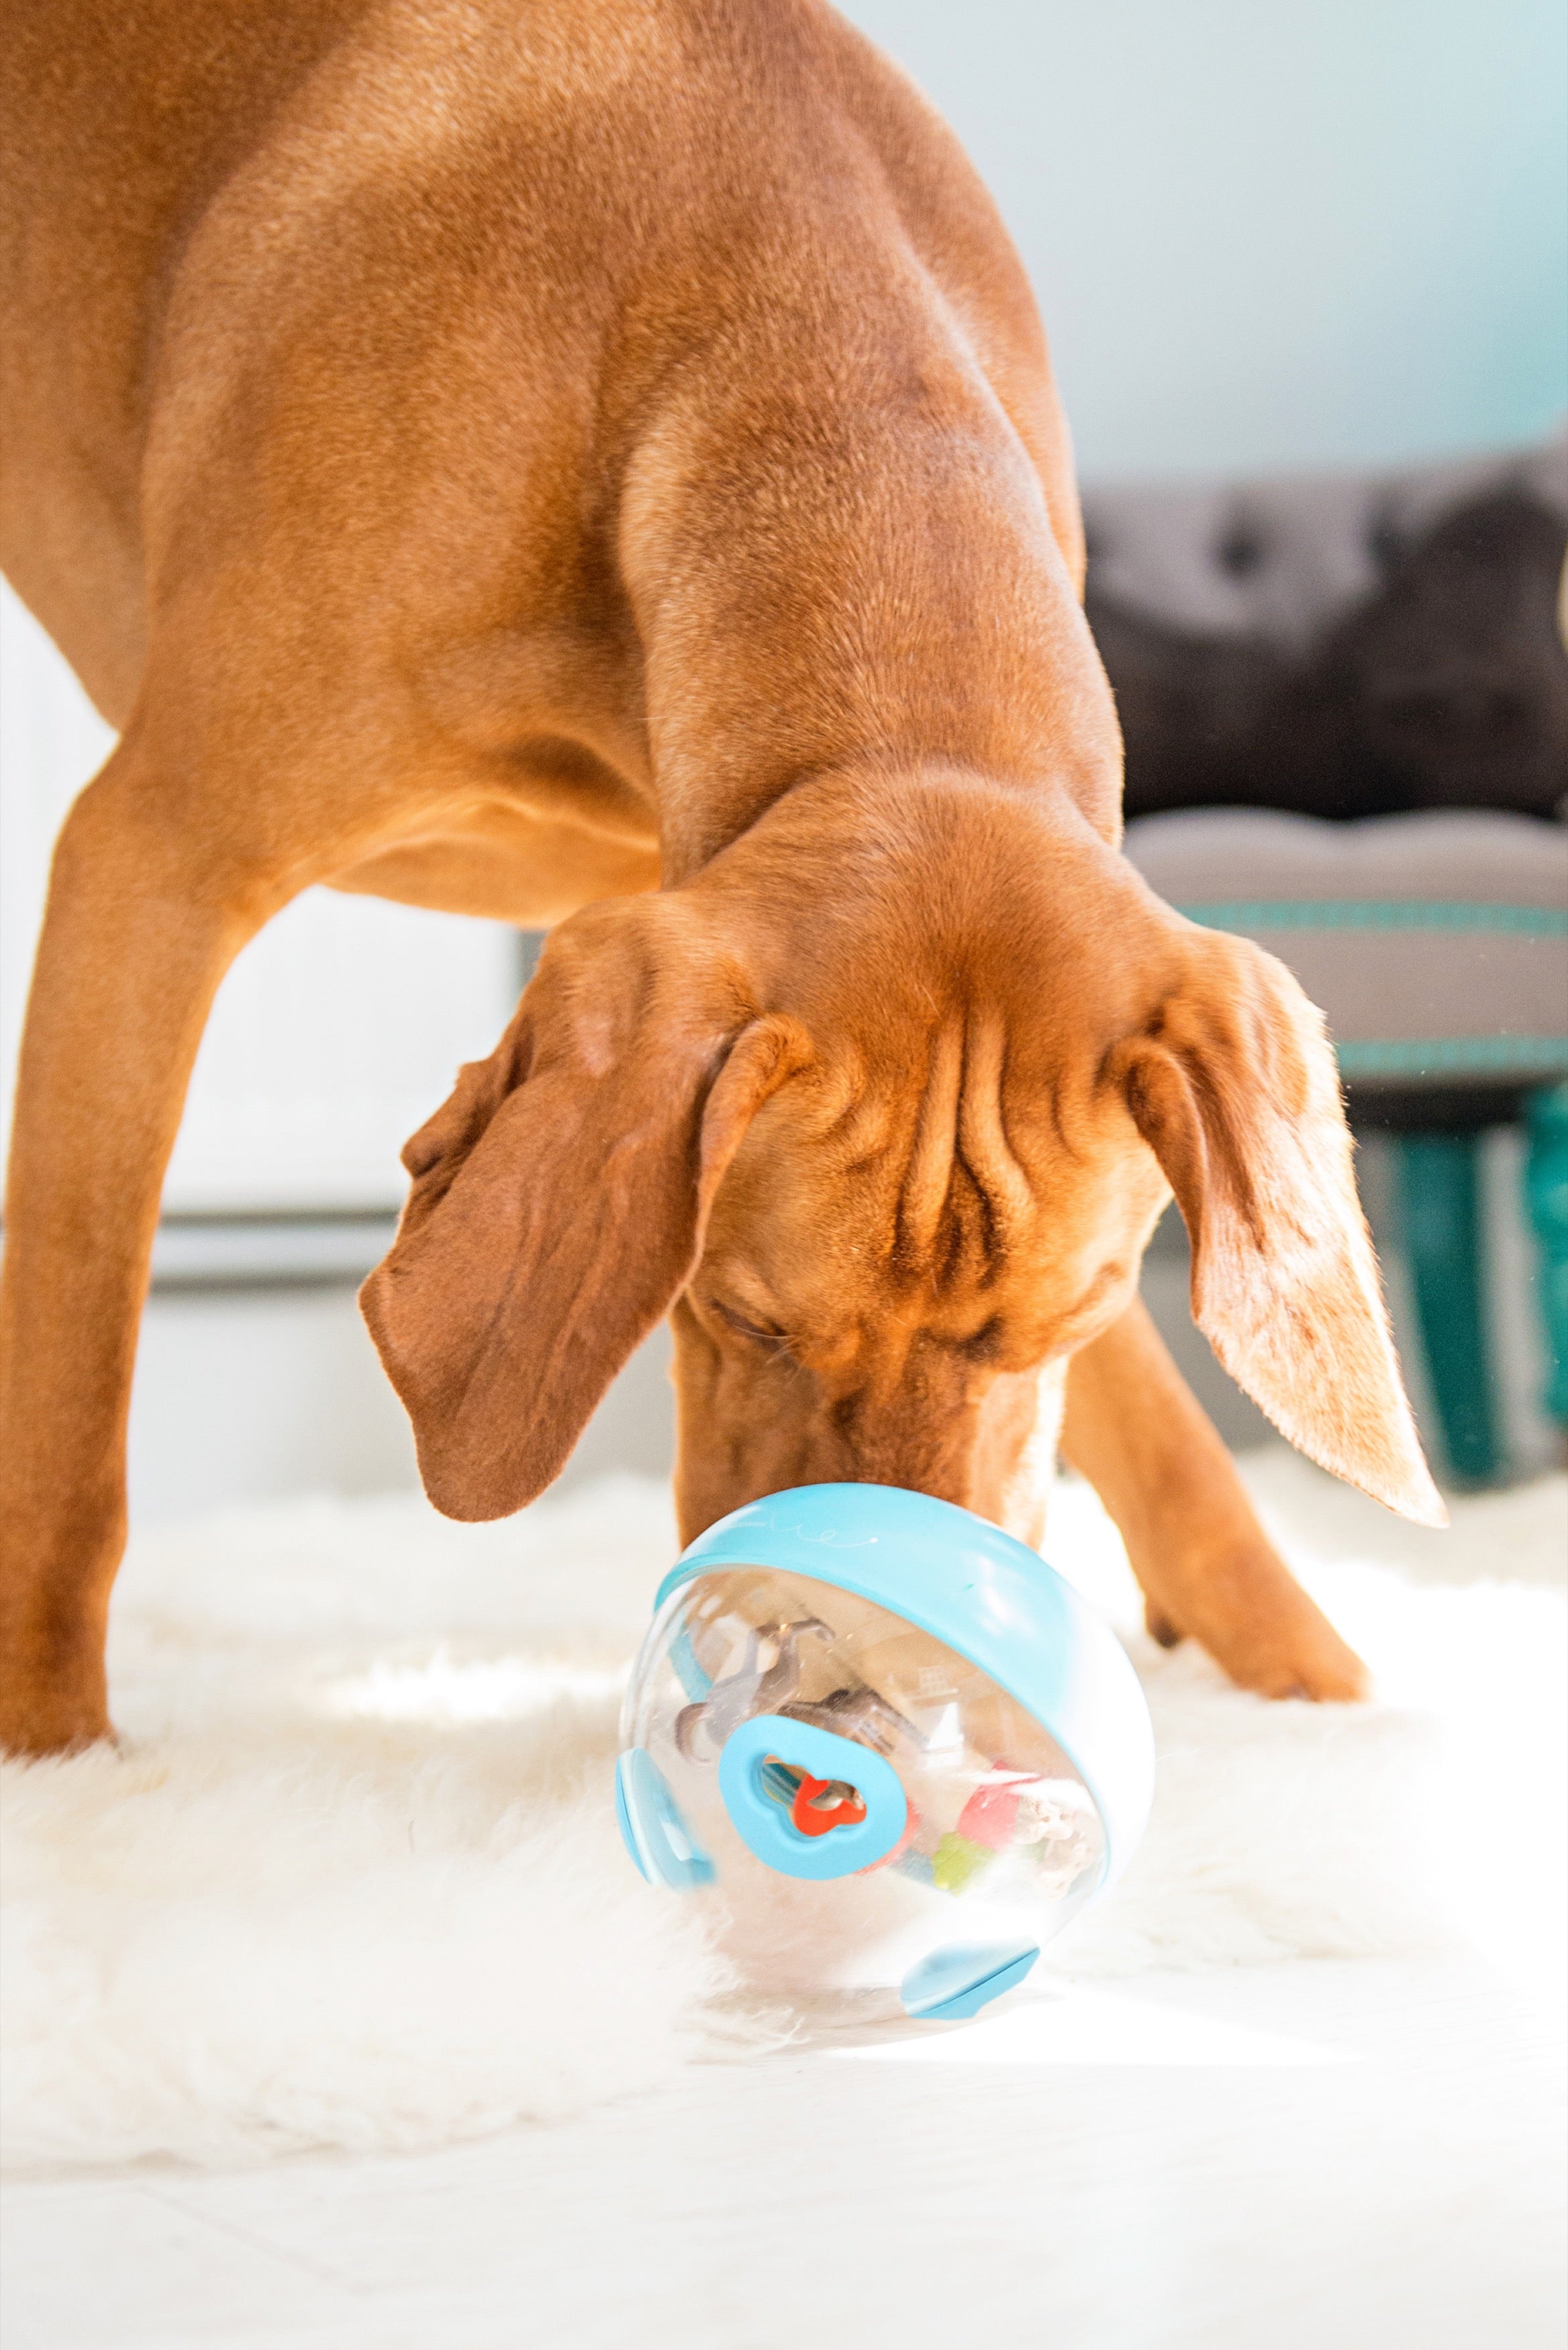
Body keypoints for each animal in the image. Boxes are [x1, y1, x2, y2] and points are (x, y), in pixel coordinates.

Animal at [3, 0, 1448, 1758]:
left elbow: (1156, 1435)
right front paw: (54, 1759)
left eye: (1056, 1328)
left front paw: (1309, 1689)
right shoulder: (147, 867)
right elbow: (70, 1409)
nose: (855, 1721)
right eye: (744, 1316)